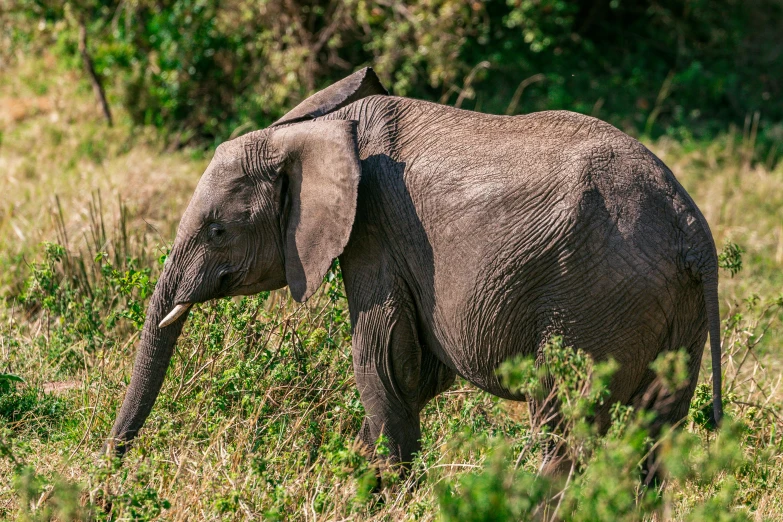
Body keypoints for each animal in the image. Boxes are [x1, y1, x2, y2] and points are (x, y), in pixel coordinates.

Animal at [104, 67, 724, 478]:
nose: (112, 465)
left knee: (563, 423)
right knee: (657, 433)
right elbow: (419, 371)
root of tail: (691, 230)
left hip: (593, 300)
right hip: (672, 309)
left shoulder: (373, 231)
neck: (319, 129)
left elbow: (384, 360)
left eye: (217, 231)